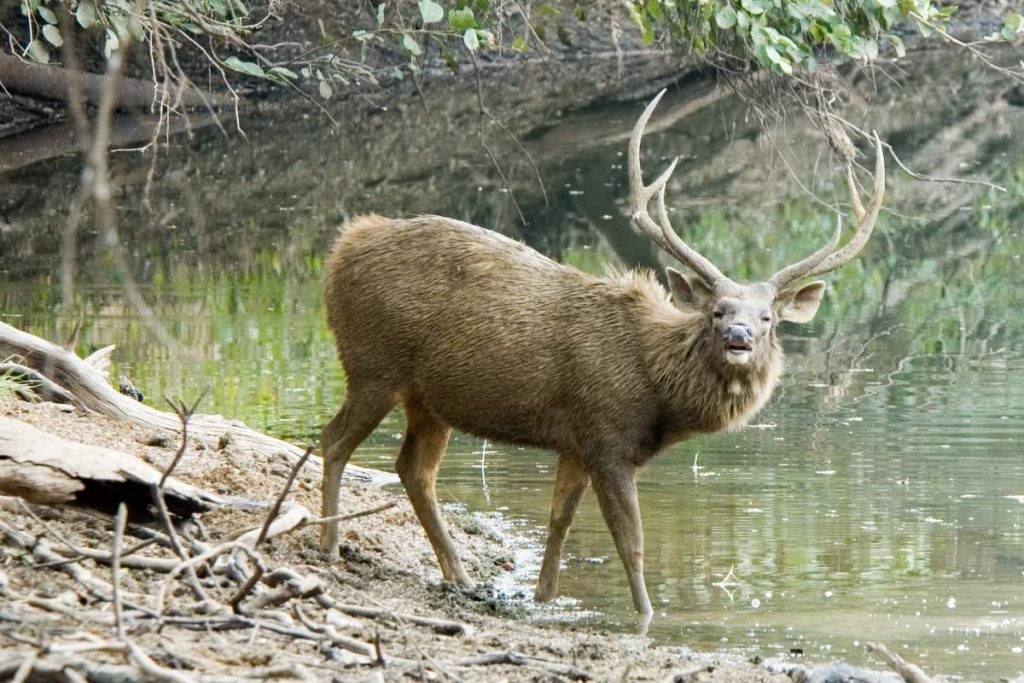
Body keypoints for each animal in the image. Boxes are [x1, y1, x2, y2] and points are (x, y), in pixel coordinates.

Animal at [317, 88, 880, 618]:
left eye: (768, 318)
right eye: (717, 311)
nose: (738, 337)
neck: (659, 396)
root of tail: (342, 247)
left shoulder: (575, 442)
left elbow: (558, 522)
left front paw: (542, 597)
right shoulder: (608, 439)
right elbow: (631, 544)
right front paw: (646, 615)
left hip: (429, 399)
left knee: (413, 469)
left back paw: (459, 574)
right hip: (372, 364)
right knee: (334, 440)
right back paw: (329, 544)